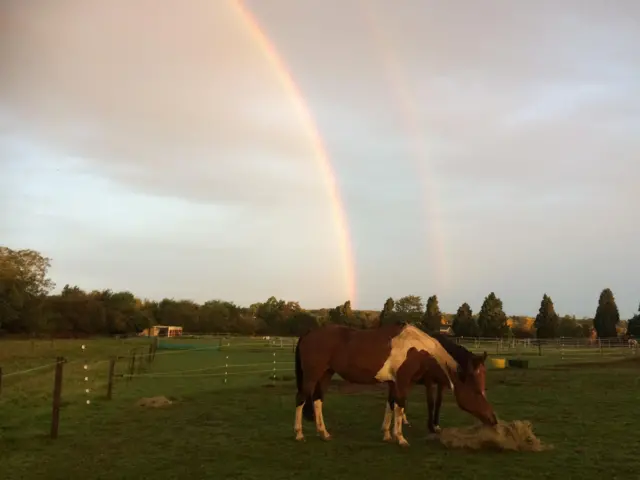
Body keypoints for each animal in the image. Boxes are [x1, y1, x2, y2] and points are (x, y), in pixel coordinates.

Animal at [292, 322, 498, 446]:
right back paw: (299, 434)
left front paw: (387, 434)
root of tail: (308, 333)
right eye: (477, 392)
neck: (419, 349)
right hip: (312, 376)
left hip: (325, 375)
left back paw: (324, 433)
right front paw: (400, 438)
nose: (493, 419)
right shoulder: (404, 382)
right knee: (301, 398)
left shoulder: (394, 383)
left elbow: (391, 406)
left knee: (317, 400)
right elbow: (400, 407)